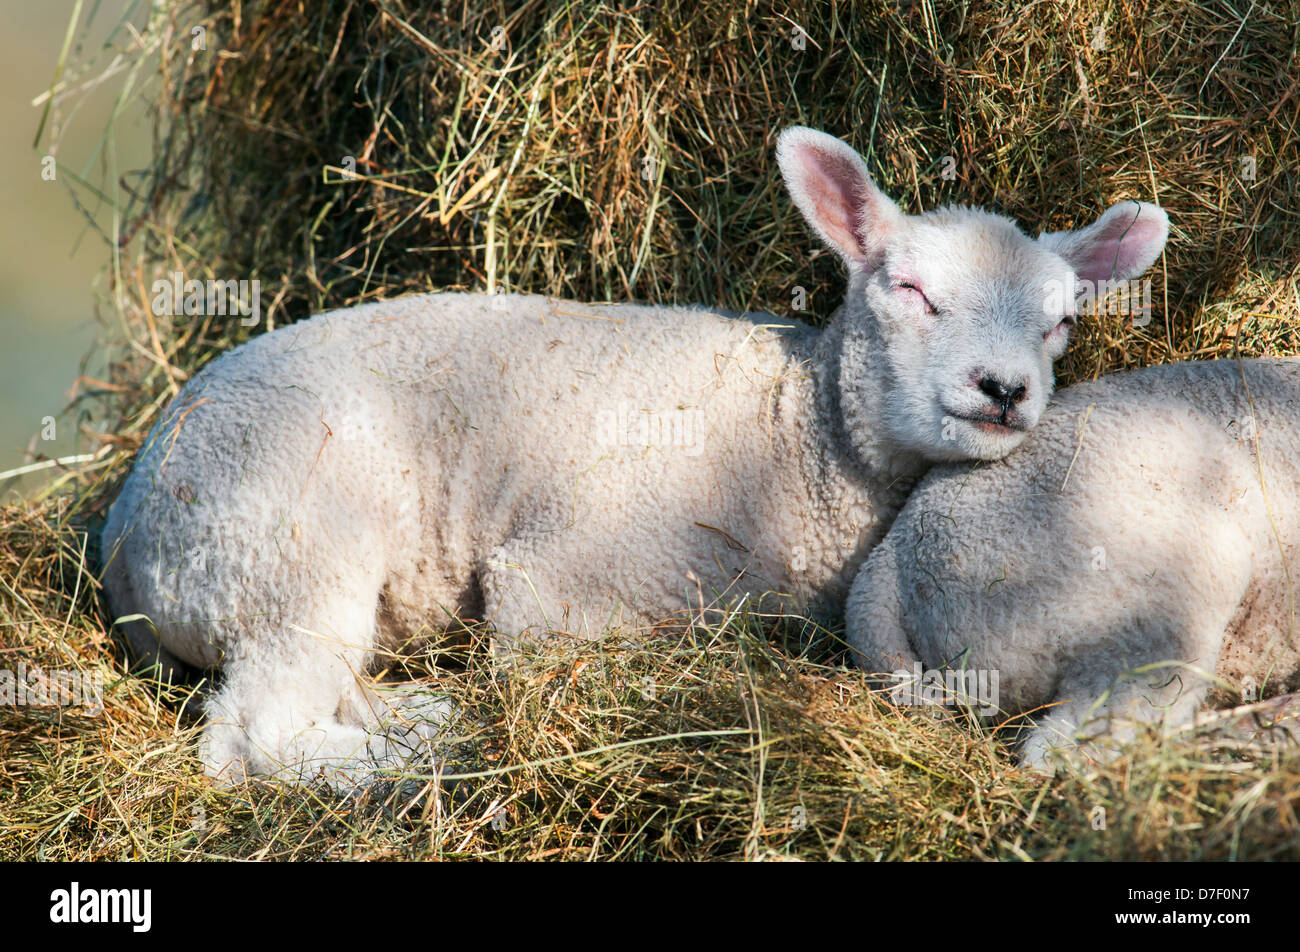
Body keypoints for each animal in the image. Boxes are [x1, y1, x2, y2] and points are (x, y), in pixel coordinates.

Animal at [99, 126, 1168, 786]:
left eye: (1061, 322)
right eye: (909, 290)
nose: (1005, 390)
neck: (796, 435)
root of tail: (123, 532)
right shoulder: (556, 580)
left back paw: (417, 713)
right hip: (286, 549)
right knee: (253, 739)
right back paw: (422, 756)